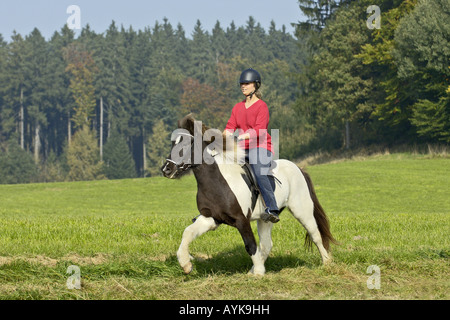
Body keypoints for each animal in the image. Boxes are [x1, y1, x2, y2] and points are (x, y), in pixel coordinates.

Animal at [162, 115, 338, 276]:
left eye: (187, 143)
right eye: (173, 143)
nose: (166, 169)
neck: (217, 182)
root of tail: (299, 168)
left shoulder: (241, 219)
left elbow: (250, 245)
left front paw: (259, 273)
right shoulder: (211, 218)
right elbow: (188, 232)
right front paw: (185, 264)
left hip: (302, 211)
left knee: (315, 235)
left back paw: (327, 263)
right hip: (265, 219)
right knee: (267, 244)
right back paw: (253, 270)